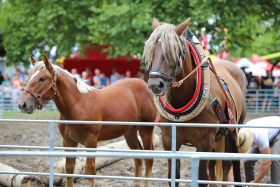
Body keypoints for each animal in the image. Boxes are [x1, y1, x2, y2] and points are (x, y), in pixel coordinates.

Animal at [17, 54, 158, 187]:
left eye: (42, 78)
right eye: (29, 77)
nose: (22, 104)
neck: (78, 105)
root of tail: (145, 85)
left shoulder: (91, 142)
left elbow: (90, 171)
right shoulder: (68, 142)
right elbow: (69, 170)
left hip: (146, 129)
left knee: (149, 158)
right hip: (130, 133)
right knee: (138, 159)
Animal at [143, 17, 246, 187]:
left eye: (172, 51)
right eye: (151, 51)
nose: (155, 85)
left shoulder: (205, 143)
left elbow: (203, 177)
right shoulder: (169, 141)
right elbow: (173, 176)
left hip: (232, 133)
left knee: (226, 166)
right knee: (214, 167)